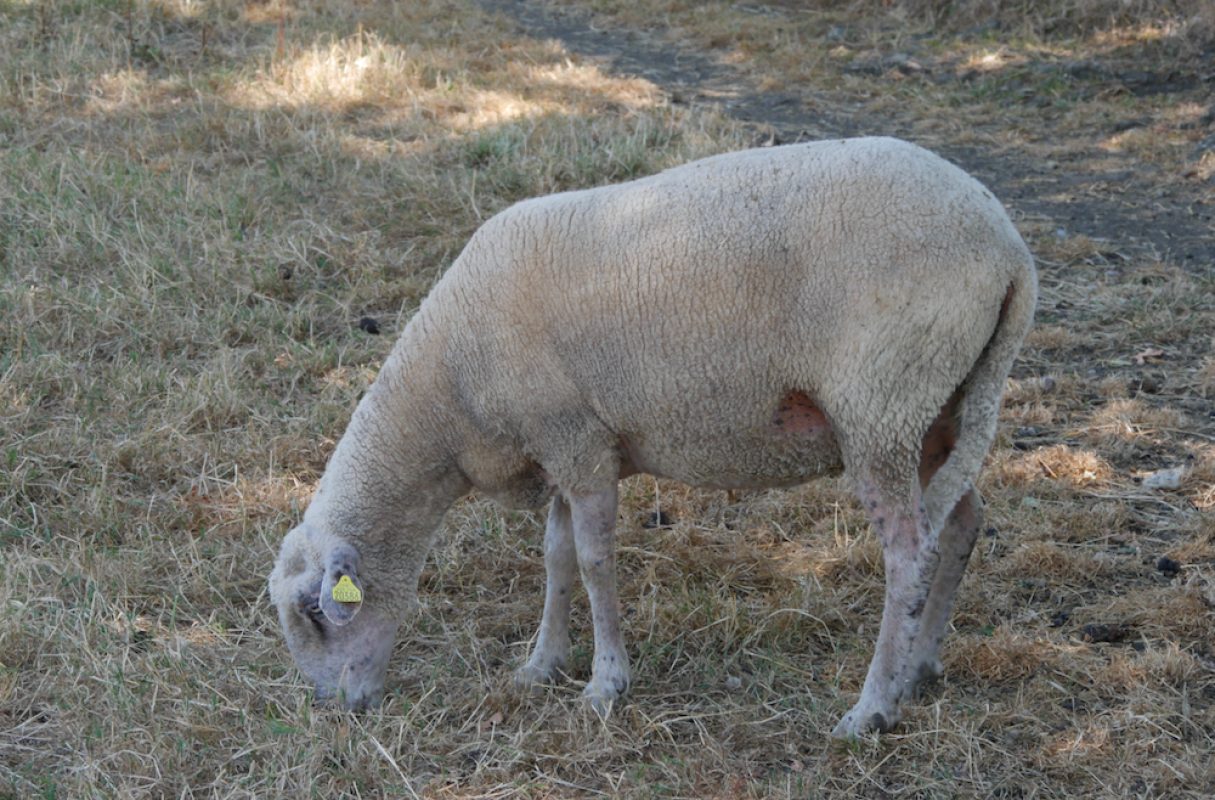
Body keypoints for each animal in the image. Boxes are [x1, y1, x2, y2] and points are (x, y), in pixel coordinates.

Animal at [269, 136, 1037, 737]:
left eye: (317, 615)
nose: (336, 708)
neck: (446, 397)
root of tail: (1009, 250)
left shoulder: (577, 440)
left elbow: (593, 560)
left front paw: (605, 684)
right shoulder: (565, 441)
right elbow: (555, 555)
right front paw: (541, 664)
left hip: (883, 402)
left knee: (908, 552)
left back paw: (871, 708)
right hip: (941, 404)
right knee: (962, 519)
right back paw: (920, 666)